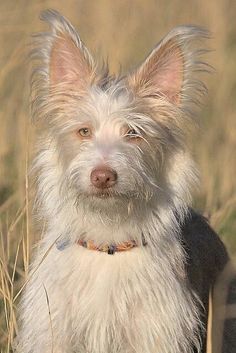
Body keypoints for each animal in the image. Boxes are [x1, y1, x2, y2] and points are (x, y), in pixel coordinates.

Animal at [15, 8, 231, 352]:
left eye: (133, 133)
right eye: (84, 131)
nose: (103, 175)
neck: (108, 240)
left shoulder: (155, 334)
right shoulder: (51, 331)